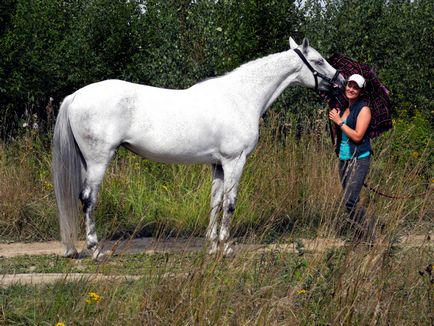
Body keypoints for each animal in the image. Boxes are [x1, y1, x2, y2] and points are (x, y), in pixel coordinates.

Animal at [51, 37, 342, 258]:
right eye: (318, 61)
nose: (340, 82)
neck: (240, 97)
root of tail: (76, 96)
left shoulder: (218, 164)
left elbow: (215, 202)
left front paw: (211, 247)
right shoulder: (235, 161)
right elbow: (230, 204)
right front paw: (226, 248)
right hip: (98, 160)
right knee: (88, 199)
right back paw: (96, 250)